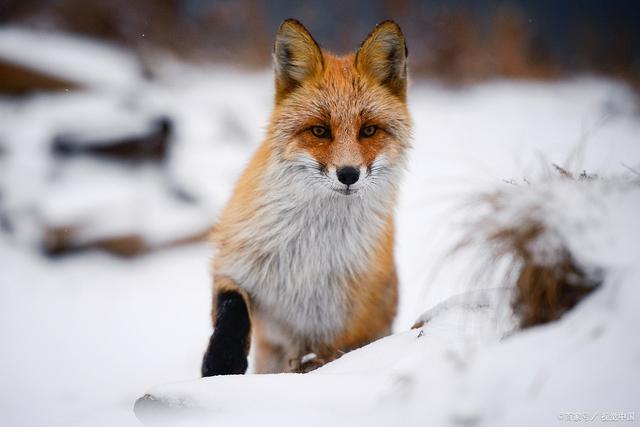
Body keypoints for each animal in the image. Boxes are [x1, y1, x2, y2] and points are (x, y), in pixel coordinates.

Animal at [202, 18, 412, 376]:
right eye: (319, 131)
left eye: (369, 130)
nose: (348, 174)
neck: (305, 250)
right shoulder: (235, 266)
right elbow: (232, 309)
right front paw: (220, 364)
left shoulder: (327, 331)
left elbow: (313, 363)